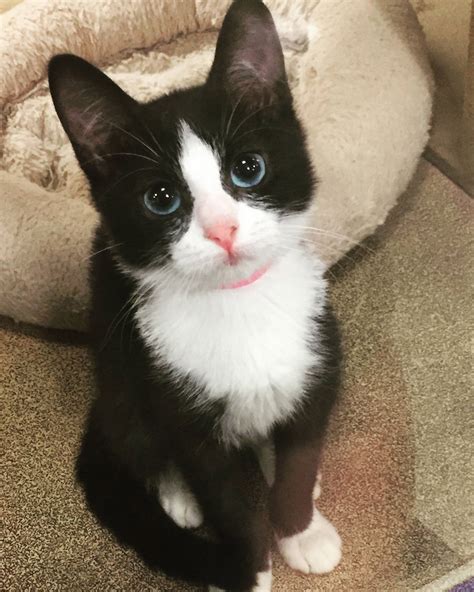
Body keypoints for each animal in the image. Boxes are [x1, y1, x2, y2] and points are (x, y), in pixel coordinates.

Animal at [49, 1, 340, 592]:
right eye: (161, 199)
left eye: (248, 168)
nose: (224, 230)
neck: (239, 303)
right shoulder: (175, 398)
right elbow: (224, 497)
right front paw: (245, 569)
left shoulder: (319, 351)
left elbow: (300, 453)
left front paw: (301, 529)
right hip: (119, 367)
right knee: (135, 438)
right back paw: (176, 496)